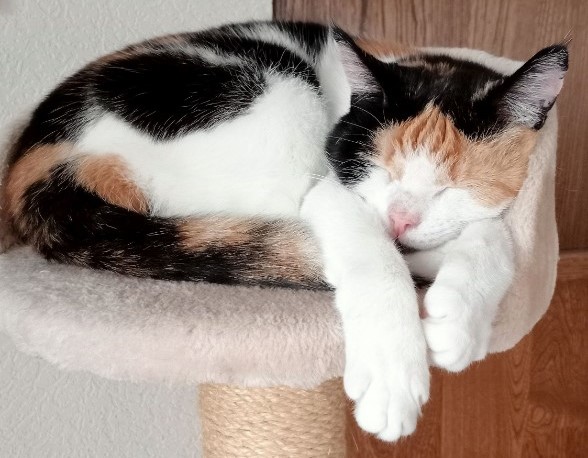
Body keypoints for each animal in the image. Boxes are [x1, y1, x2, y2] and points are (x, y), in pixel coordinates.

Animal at [0, 21, 567, 441]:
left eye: (455, 185)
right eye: (378, 167)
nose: (401, 218)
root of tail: (37, 155)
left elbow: (495, 235)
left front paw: (461, 323)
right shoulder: (332, 188)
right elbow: (378, 255)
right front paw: (394, 378)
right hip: (275, 97)